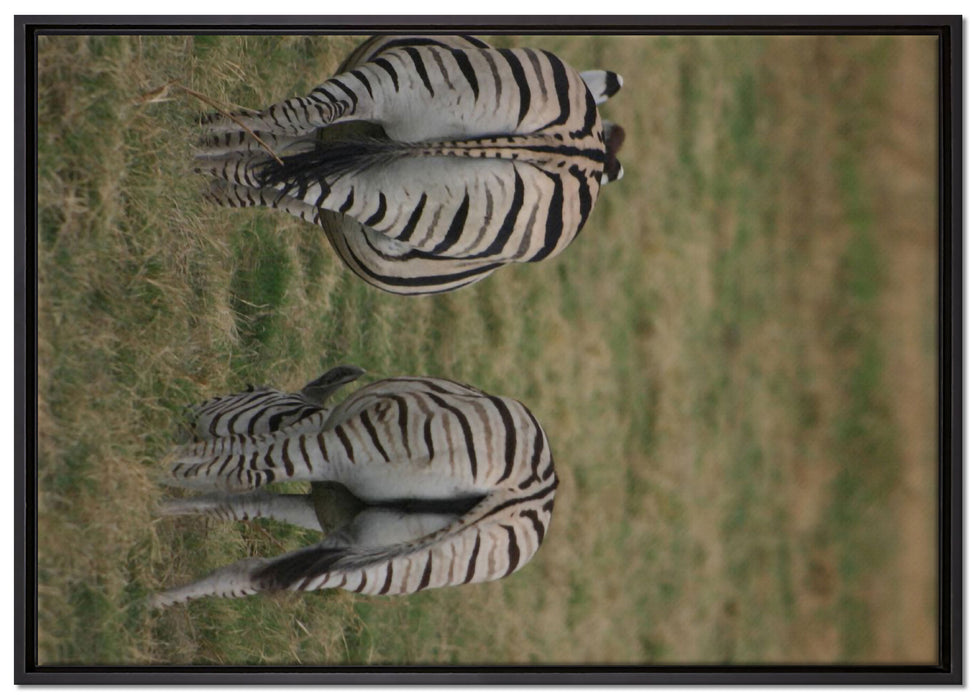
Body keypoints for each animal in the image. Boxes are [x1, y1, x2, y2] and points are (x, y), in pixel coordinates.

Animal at [152, 365, 558, 605]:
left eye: (248, 387)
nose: (185, 411)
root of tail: (525, 495)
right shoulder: (330, 507)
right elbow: (245, 503)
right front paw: (167, 507)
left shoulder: (312, 438)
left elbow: (238, 462)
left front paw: (163, 470)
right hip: (380, 568)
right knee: (252, 574)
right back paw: (153, 600)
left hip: (353, 444)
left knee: (242, 473)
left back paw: (149, 467)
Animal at [194, 35, 625, 295]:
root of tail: (564, 147)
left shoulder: (321, 170)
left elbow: (263, 171)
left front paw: (212, 162)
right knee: (294, 128)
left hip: (380, 161)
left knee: (282, 149)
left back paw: (187, 154)